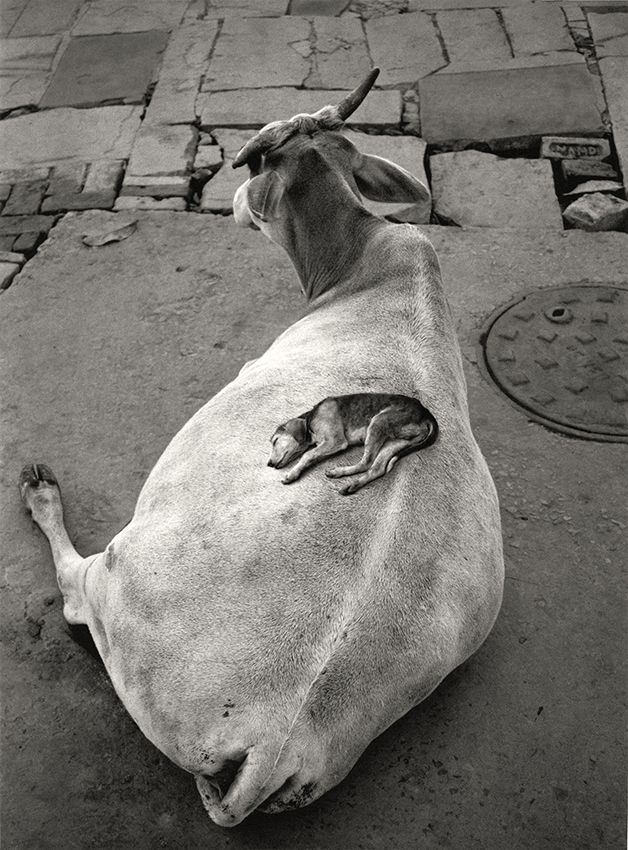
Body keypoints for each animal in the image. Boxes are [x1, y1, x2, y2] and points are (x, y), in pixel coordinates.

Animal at [268, 394, 440, 494]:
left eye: (275, 441)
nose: (269, 464)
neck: (310, 419)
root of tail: (426, 414)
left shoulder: (335, 441)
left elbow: (307, 455)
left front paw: (291, 474)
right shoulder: (327, 445)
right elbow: (312, 456)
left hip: (378, 422)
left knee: (367, 463)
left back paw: (342, 475)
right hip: (395, 442)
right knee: (376, 469)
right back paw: (349, 483)